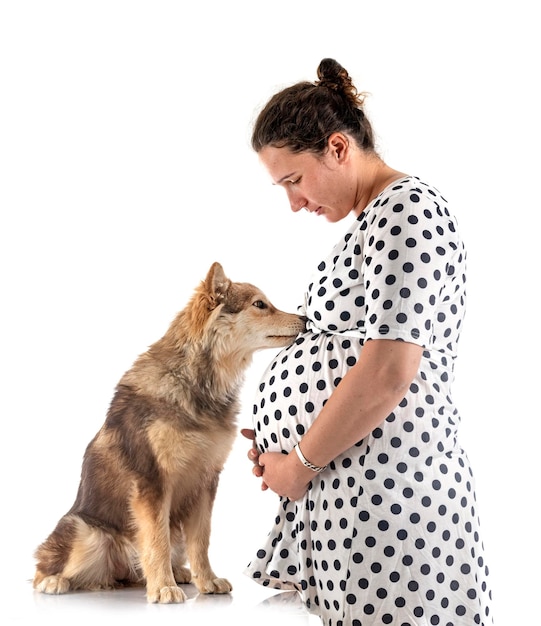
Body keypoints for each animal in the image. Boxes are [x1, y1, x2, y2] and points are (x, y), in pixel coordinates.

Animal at [31, 260, 306, 604]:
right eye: (259, 305)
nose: (305, 319)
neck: (198, 379)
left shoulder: (206, 479)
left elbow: (200, 540)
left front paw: (206, 580)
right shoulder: (152, 482)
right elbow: (156, 539)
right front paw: (163, 587)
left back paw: (177, 573)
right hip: (87, 532)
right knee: (45, 564)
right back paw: (53, 581)